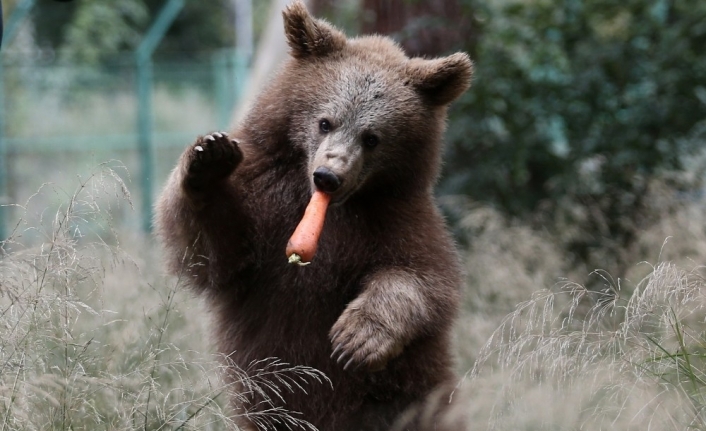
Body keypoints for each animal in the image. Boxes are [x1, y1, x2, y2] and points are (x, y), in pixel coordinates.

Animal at [157, 1, 470, 430]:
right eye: (325, 121)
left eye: (372, 138)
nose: (329, 176)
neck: (327, 209)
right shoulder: (265, 204)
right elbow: (215, 254)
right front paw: (208, 159)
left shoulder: (397, 217)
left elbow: (422, 277)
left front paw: (356, 338)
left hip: (410, 391)